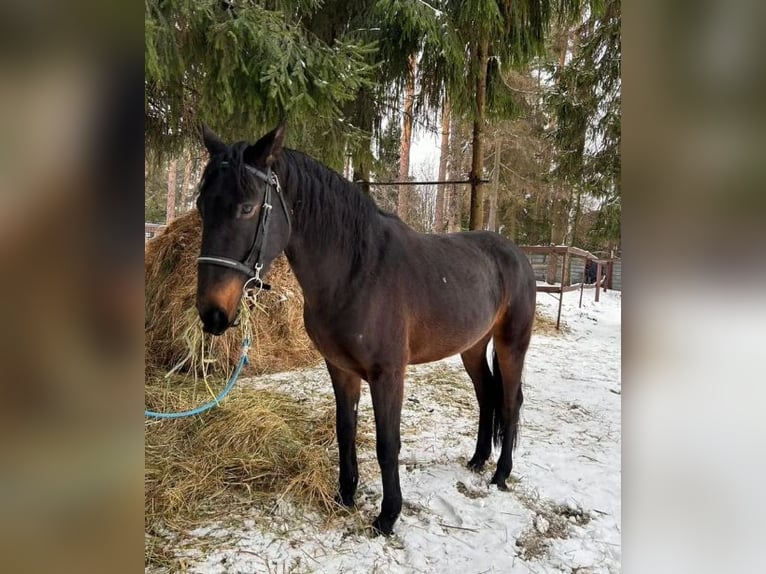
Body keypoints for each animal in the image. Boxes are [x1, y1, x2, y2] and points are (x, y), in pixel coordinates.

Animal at [195, 124, 536, 536]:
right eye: (201, 206)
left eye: (246, 207)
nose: (212, 313)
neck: (356, 273)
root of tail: (515, 254)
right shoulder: (340, 369)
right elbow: (345, 431)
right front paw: (345, 495)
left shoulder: (387, 374)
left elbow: (388, 443)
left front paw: (388, 516)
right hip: (472, 346)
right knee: (486, 395)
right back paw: (477, 460)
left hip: (511, 343)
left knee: (510, 400)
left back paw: (500, 474)